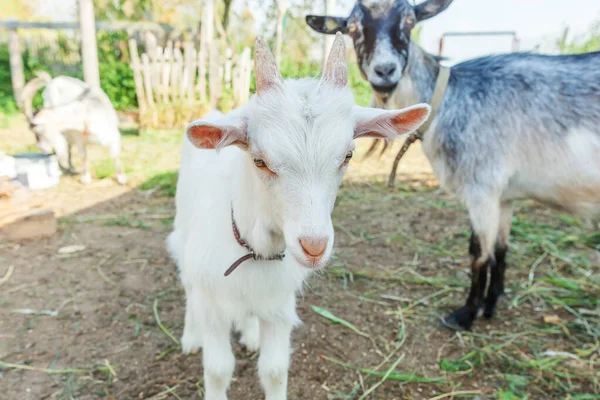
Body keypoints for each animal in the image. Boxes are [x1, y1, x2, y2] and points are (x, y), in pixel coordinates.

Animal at [308, 0, 600, 330]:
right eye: (353, 27)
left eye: (409, 21)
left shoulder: (482, 188)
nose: (385, 71)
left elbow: (479, 253)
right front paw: (491, 303)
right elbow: (500, 250)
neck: (449, 101)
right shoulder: (505, 195)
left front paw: (465, 314)